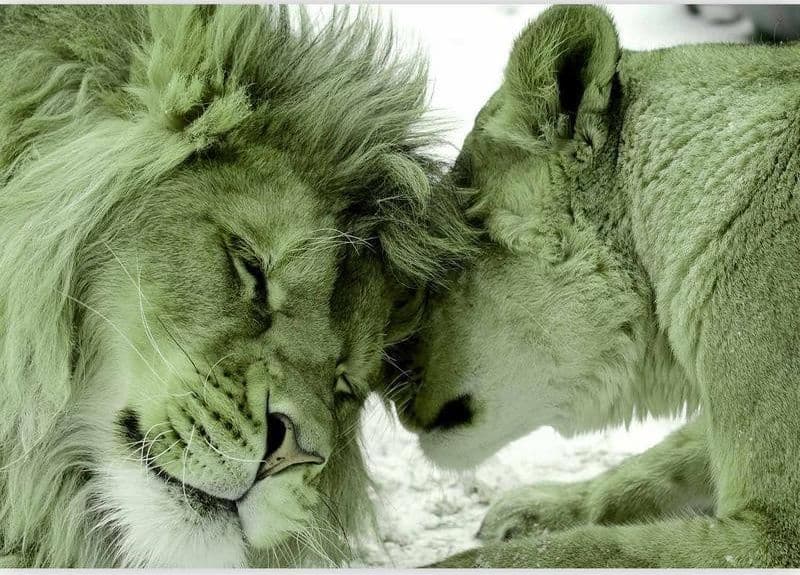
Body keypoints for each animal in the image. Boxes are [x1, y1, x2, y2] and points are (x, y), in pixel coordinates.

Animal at [386, 4, 800, 568]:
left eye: (441, 262)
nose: (384, 378)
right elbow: (660, 461)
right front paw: (534, 508)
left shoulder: (775, 535)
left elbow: (579, 551)